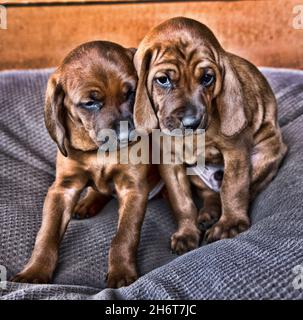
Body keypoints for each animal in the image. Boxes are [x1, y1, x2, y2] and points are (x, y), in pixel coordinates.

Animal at [11, 40, 158, 288]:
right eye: (90, 103)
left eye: (130, 93)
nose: (128, 135)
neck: (98, 152)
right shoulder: (63, 189)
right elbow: (47, 234)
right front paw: (35, 270)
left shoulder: (134, 187)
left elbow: (124, 236)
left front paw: (121, 271)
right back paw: (87, 202)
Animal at [134, 16, 288, 242]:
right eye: (163, 80)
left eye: (207, 78)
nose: (191, 122)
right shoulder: (170, 162)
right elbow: (181, 201)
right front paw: (186, 233)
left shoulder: (236, 151)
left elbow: (233, 188)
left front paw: (230, 223)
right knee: (209, 194)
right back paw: (208, 213)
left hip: (265, 154)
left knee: (244, 188)